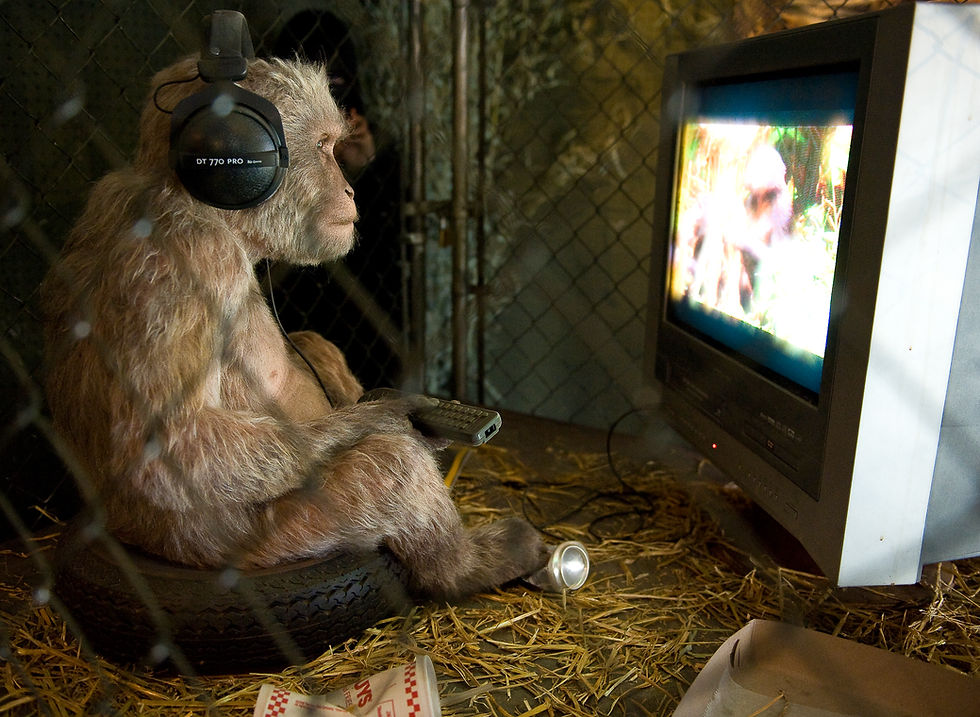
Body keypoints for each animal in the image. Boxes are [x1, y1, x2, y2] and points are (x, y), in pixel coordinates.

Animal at [40, 55, 548, 601]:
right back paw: (464, 566)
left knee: (313, 345)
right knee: (390, 468)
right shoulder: (191, 257)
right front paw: (389, 415)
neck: (200, 205)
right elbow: (174, 445)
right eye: (324, 147)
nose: (349, 188)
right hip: (274, 542)